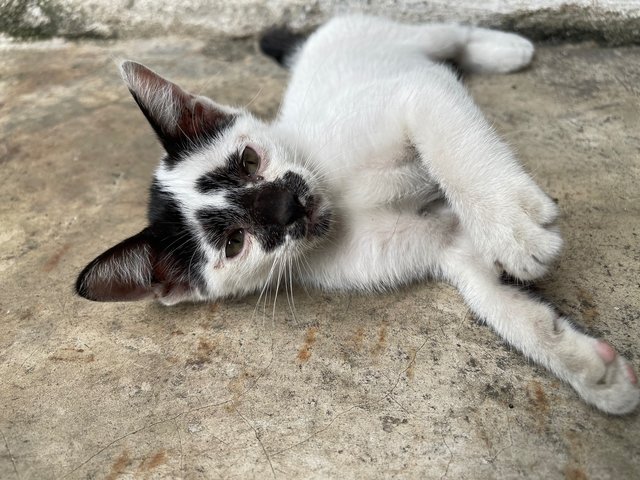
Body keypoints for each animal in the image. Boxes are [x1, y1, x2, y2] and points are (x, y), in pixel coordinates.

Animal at [72, 15, 636, 412]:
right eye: (235, 242)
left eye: (249, 160)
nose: (289, 205)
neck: (343, 208)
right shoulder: (442, 243)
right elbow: (491, 297)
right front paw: (589, 368)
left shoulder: (418, 96)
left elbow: (451, 145)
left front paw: (511, 226)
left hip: (396, 37)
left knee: (450, 36)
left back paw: (506, 49)